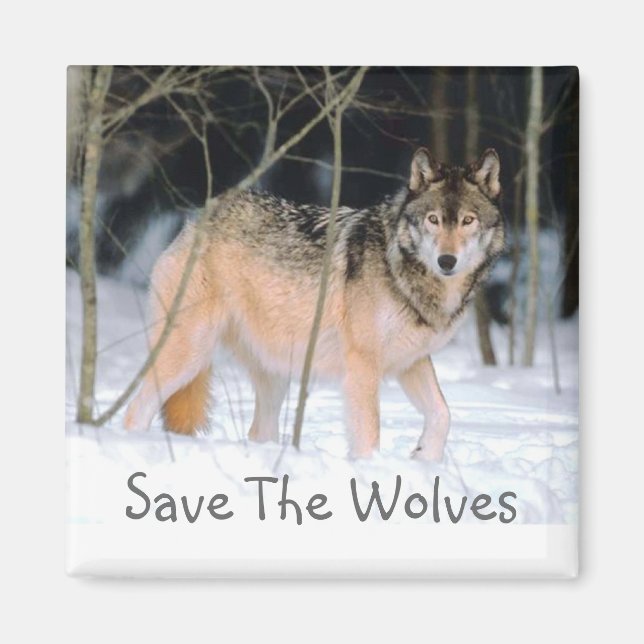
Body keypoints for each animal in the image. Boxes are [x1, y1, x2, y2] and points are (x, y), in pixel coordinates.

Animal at [124, 147, 505, 460]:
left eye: (467, 220)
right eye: (433, 220)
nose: (446, 261)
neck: (401, 268)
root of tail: (195, 221)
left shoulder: (411, 362)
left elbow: (443, 414)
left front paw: (425, 457)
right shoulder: (363, 367)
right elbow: (369, 435)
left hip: (274, 376)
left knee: (258, 432)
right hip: (189, 354)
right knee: (135, 411)